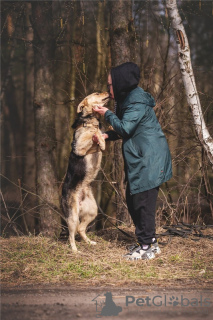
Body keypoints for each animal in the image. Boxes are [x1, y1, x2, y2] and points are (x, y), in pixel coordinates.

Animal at [60, 91, 109, 251]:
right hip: (73, 216)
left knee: (81, 229)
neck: (90, 120)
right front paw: (100, 140)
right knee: (71, 234)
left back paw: (89, 242)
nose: (107, 91)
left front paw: (103, 140)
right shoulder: (80, 146)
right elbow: (94, 134)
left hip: (92, 210)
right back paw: (75, 250)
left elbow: (100, 132)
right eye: (97, 93)